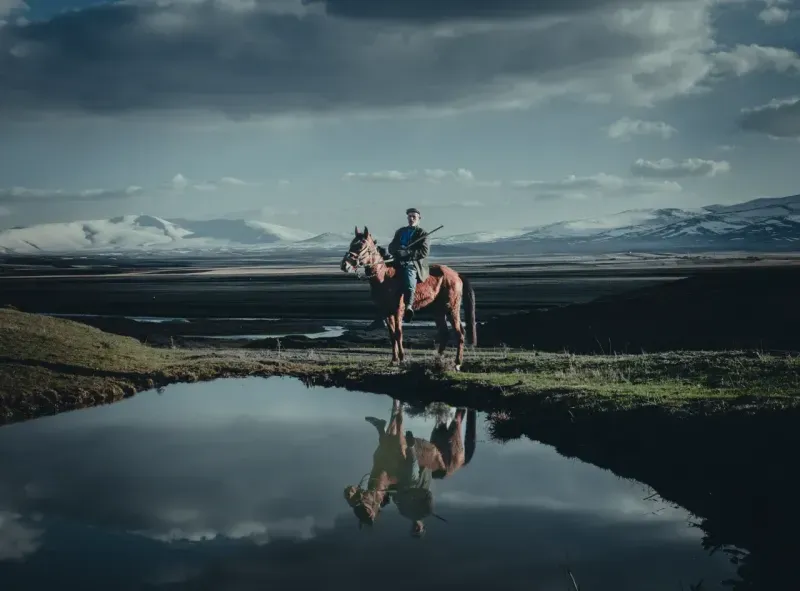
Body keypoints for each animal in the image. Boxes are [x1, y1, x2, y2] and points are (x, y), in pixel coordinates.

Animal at [338, 228, 476, 370]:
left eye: (360, 245)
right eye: (351, 243)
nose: (344, 265)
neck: (384, 278)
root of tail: (456, 275)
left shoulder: (398, 310)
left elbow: (398, 333)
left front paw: (402, 359)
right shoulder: (386, 312)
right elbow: (392, 335)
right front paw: (394, 360)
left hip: (451, 308)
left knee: (459, 333)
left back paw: (457, 363)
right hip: (438, 310)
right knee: (445, 333)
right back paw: (438, 360)